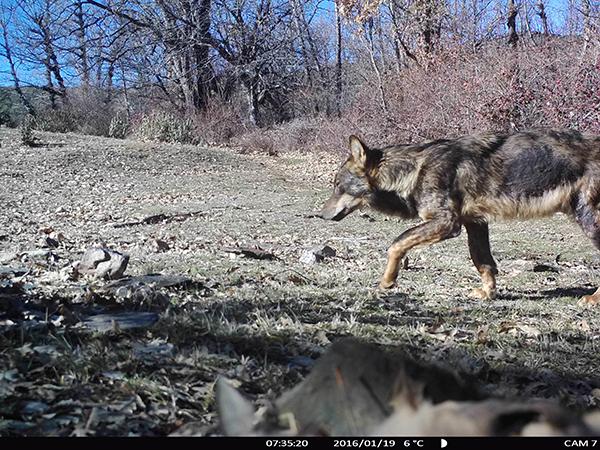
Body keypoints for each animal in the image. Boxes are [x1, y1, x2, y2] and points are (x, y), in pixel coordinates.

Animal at [322, 130, 600, 306]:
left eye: (337, 185)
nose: (320, 214)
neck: (414, 171)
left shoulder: (447, 223)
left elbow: (397, 243)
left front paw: (387, 281)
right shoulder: (474, 223)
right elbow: (484, 263)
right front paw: (488, 294)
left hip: (588, 220)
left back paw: (593, 299)